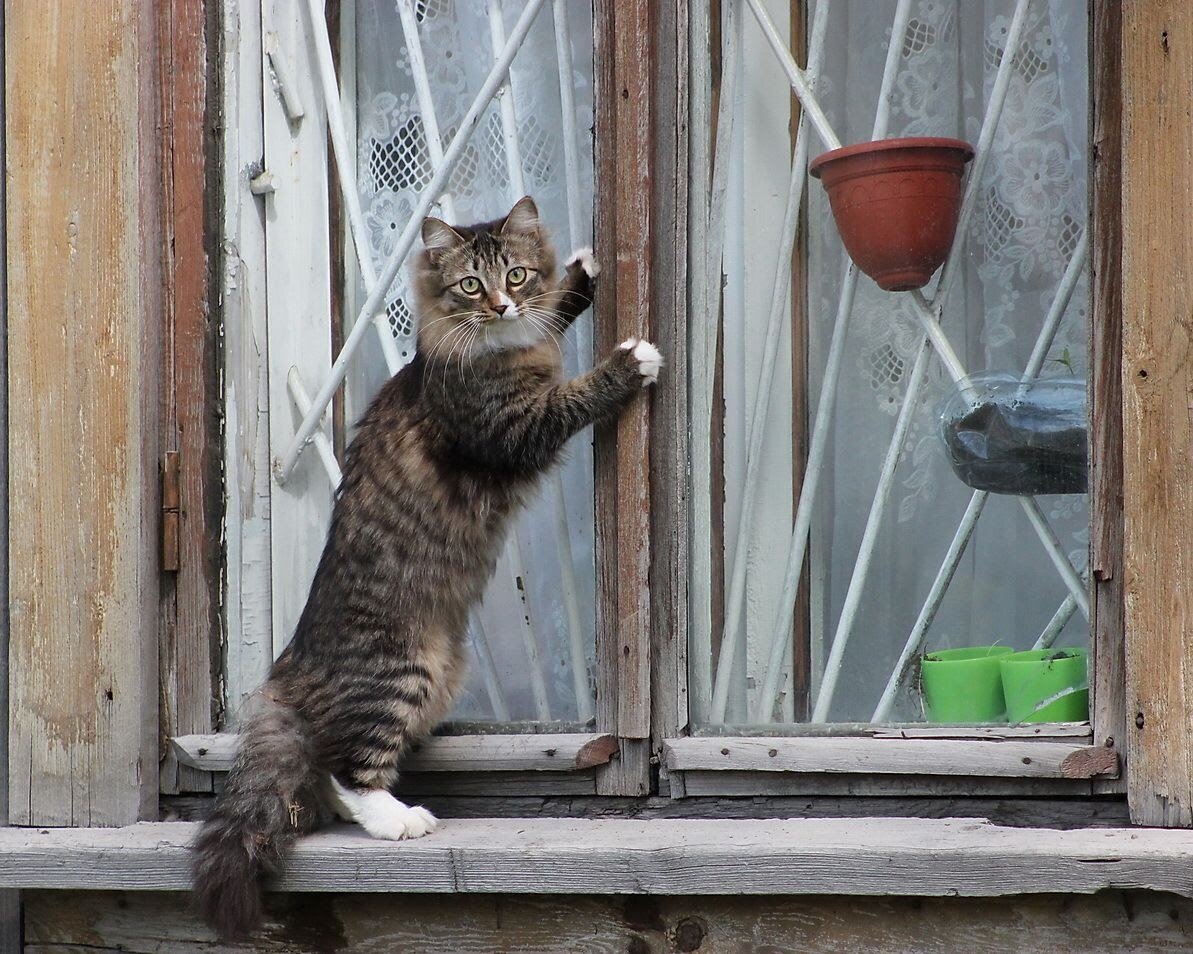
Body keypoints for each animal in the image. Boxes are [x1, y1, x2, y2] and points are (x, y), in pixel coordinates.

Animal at [194, 195, 663, 939]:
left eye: (517, 274)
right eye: (470, 286)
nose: (501, 305)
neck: (499, 345)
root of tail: (287, 674)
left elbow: (555, 313)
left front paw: (579, 277)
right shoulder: (513, 428)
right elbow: (576, 394)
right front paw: (631, 360)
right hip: (401, 672)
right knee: (345, 768)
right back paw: (400, 822)